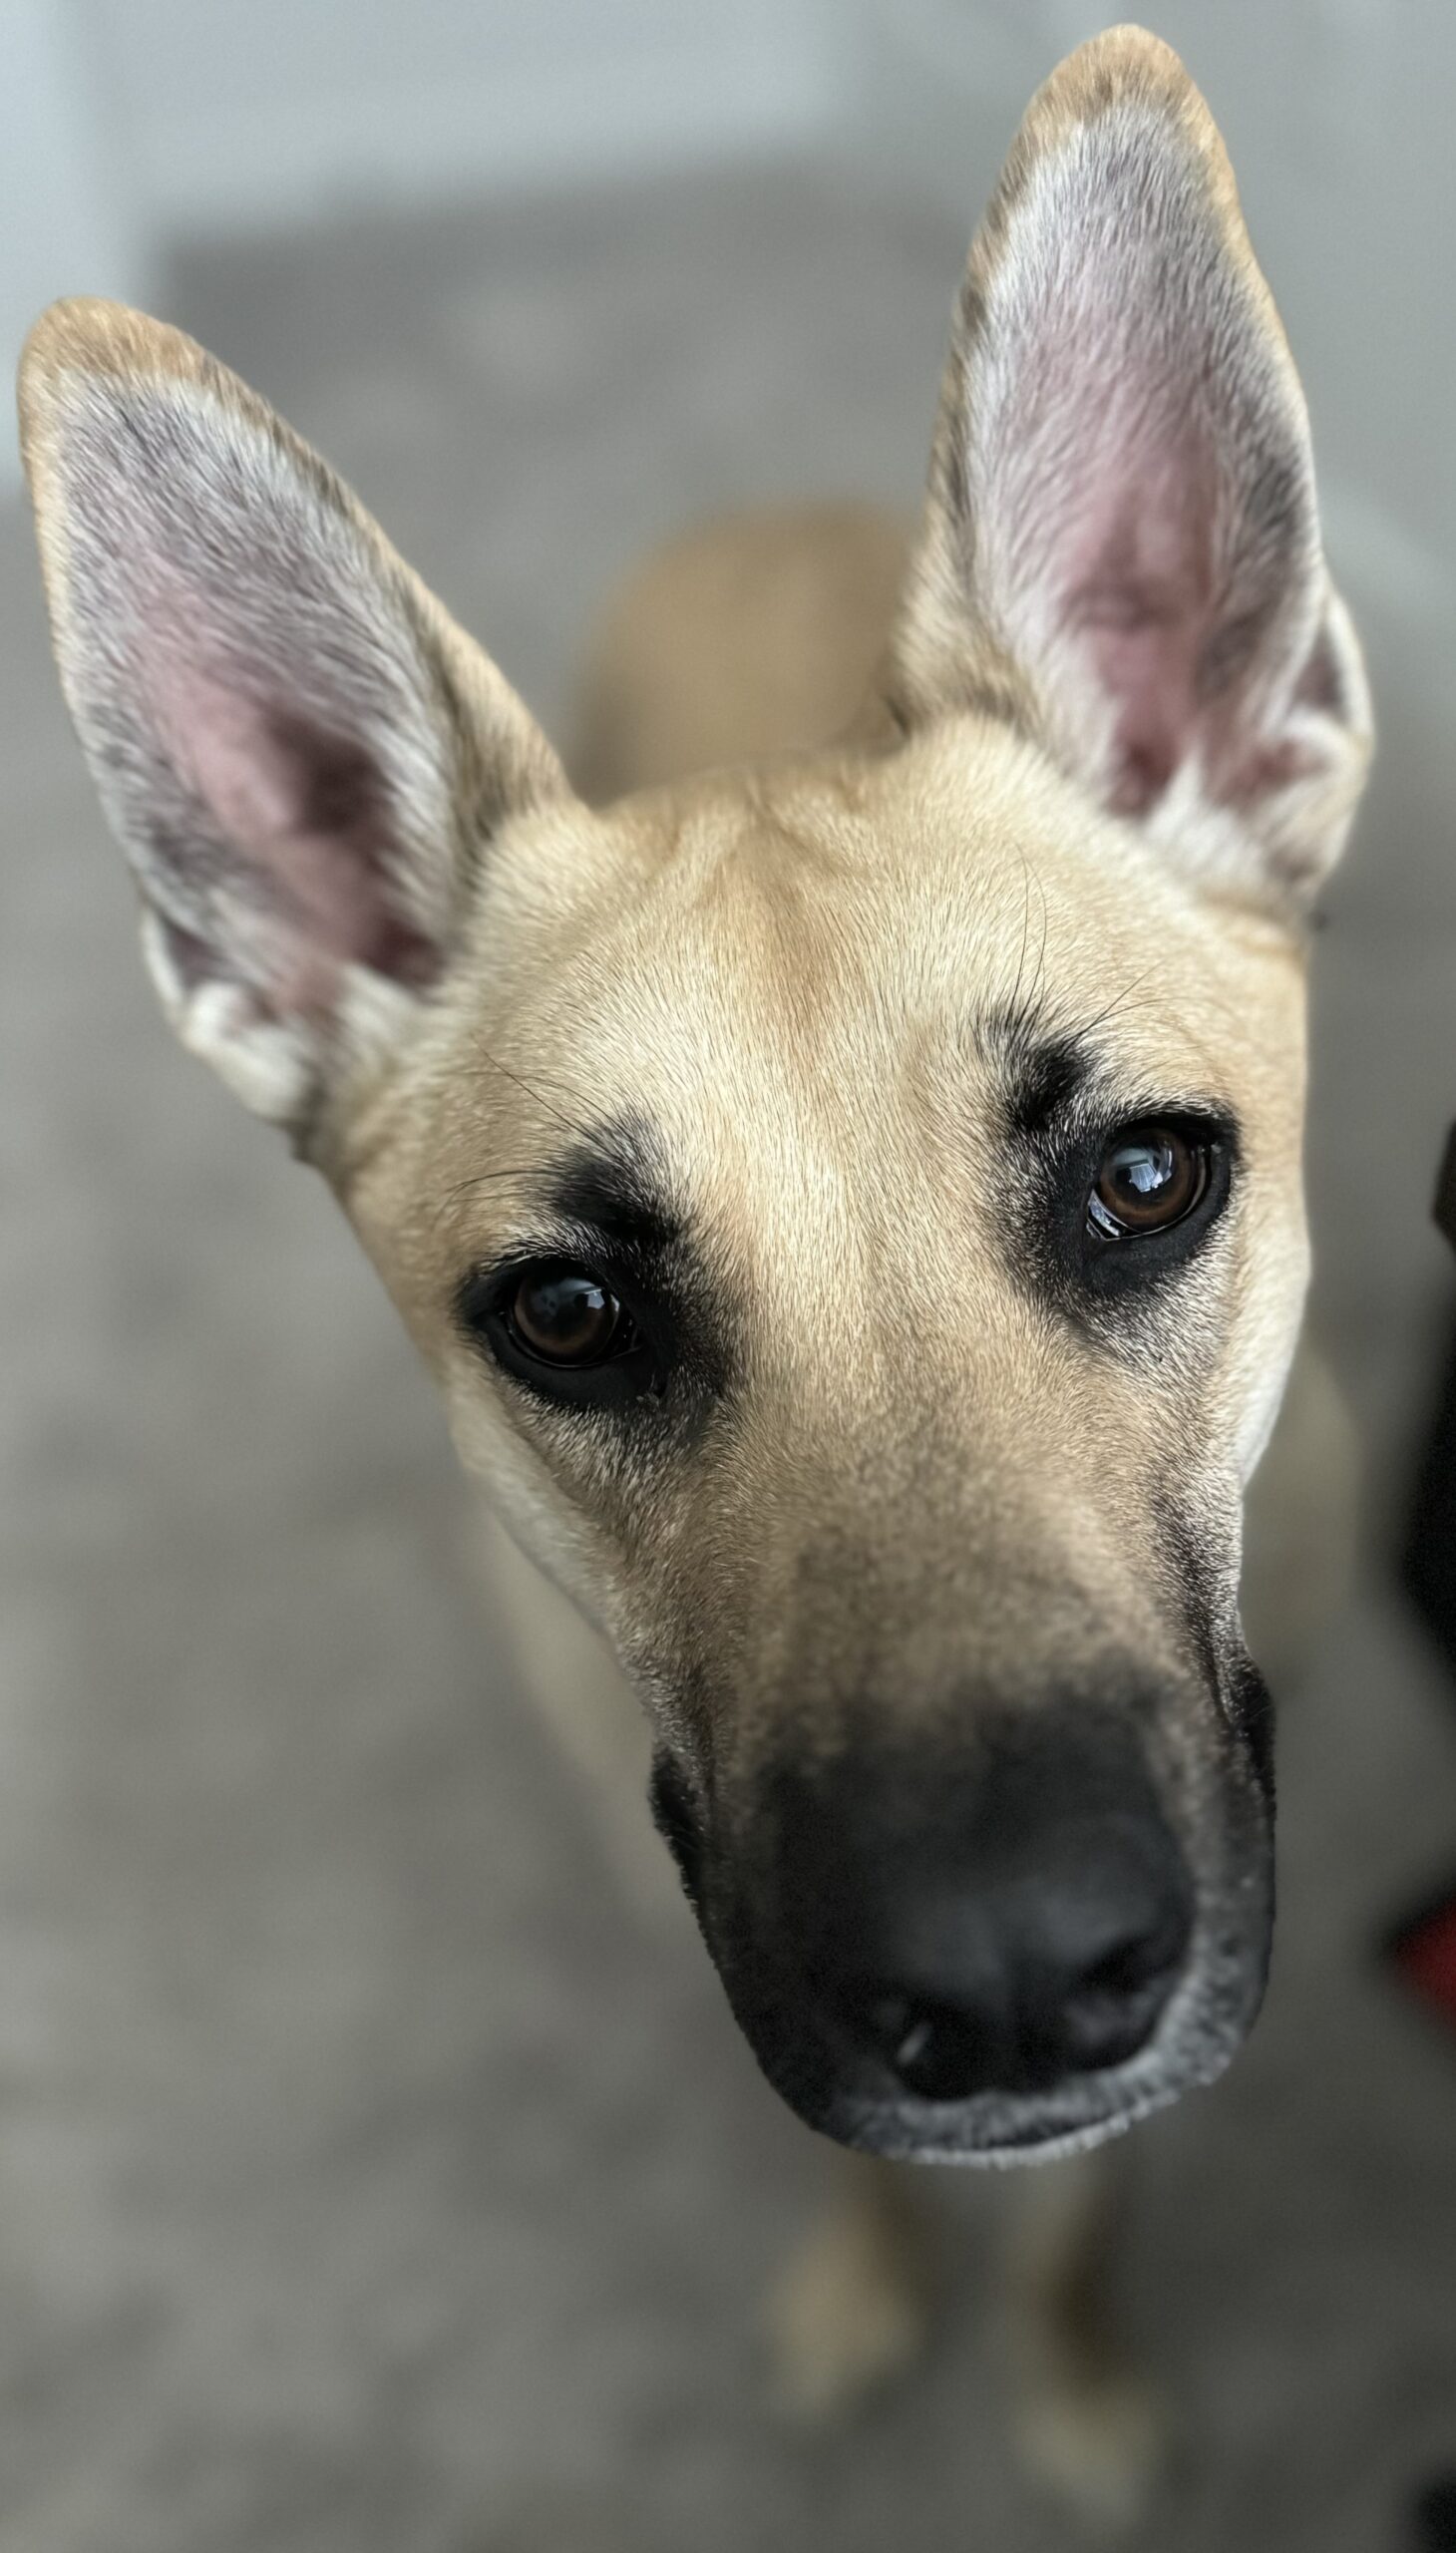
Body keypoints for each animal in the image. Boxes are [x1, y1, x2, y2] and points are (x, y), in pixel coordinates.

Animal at [19, 25, 1371, 2524]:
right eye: (566, 1313)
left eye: (1144, 1178)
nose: (1012, 1976)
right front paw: (867, 2290)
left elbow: (1094, 2209)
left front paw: (1066, 2364)